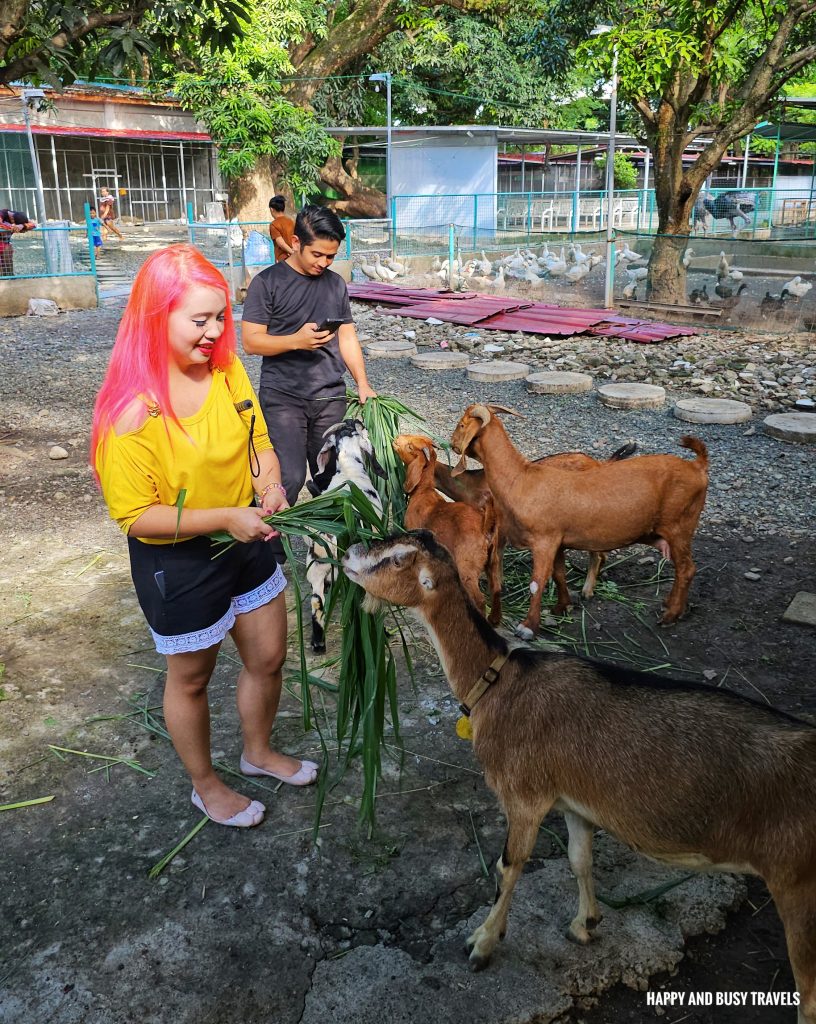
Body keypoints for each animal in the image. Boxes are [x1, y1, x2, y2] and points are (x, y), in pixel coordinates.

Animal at [391, 434, 499, 622]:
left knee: (479, 599)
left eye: (410, 446)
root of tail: (485, 528)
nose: (396, 438)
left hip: (467, 566)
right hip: (493, 561)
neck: (423, 491)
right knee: (496, 589)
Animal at [448, 403, 708, 634]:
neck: (521, 478)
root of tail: (698, 466)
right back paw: (671, 605)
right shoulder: (558, 541)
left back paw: (671, 615)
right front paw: (562, 607)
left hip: (680, 526)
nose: (451, 444)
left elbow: (537, 582)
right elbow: (558, 574)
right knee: (680, 568)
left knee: (687, 569)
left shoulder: (544, 540)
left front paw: (528, 626)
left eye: (462, 424)